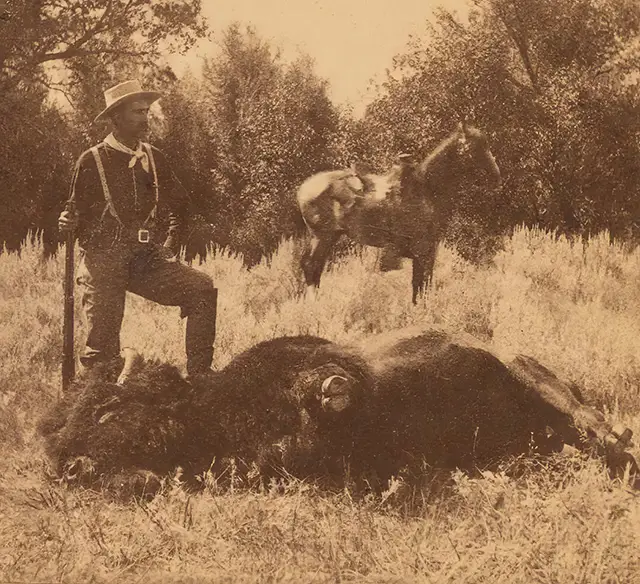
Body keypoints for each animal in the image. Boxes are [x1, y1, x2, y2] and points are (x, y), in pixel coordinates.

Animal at [296, 121, 500, 304]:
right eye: (477, 147)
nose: (496, 176)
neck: (427, 190)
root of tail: (303, 189)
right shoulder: (424, 250)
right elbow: (422, 285)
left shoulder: (426, 251)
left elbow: (419, 286)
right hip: (322, 237)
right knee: (310, 266)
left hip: (329, 237)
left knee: (316, 268)